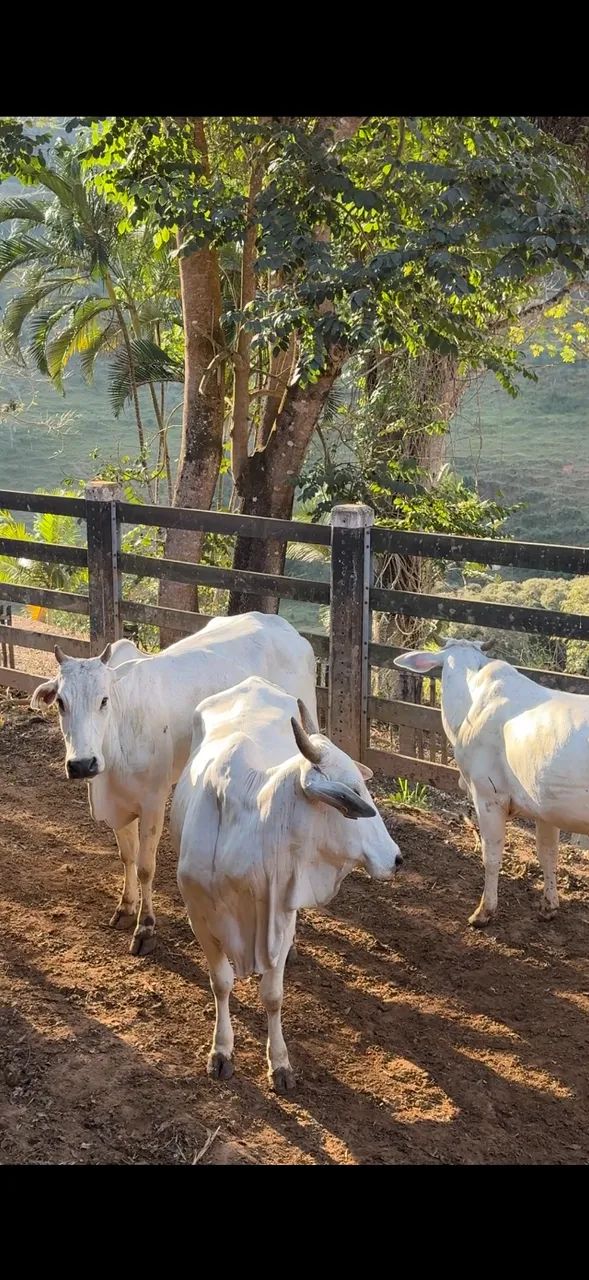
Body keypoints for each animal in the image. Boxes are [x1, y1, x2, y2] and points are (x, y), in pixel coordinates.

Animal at [30, 613, 318, 957]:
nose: (82, 764)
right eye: (61, 702)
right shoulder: (119, 806)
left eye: (104, 700)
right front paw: (126, 908)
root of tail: (285, 628)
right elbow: (127, 857)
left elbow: (145, 866)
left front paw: (145, 927)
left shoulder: (153, 801)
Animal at [171, 676, 403, 1091]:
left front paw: (279, 1063)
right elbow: (221, 983)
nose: (396, 858)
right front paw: (221, 1050)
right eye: (354, 791)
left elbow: (273, 996)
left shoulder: (278, 914)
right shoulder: (200, 916)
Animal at [395, 637, 589, 926]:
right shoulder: (546, 807)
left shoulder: (488, 796)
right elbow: (548, 855)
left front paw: (484, 911)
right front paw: (549, 905)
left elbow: (492, 856)